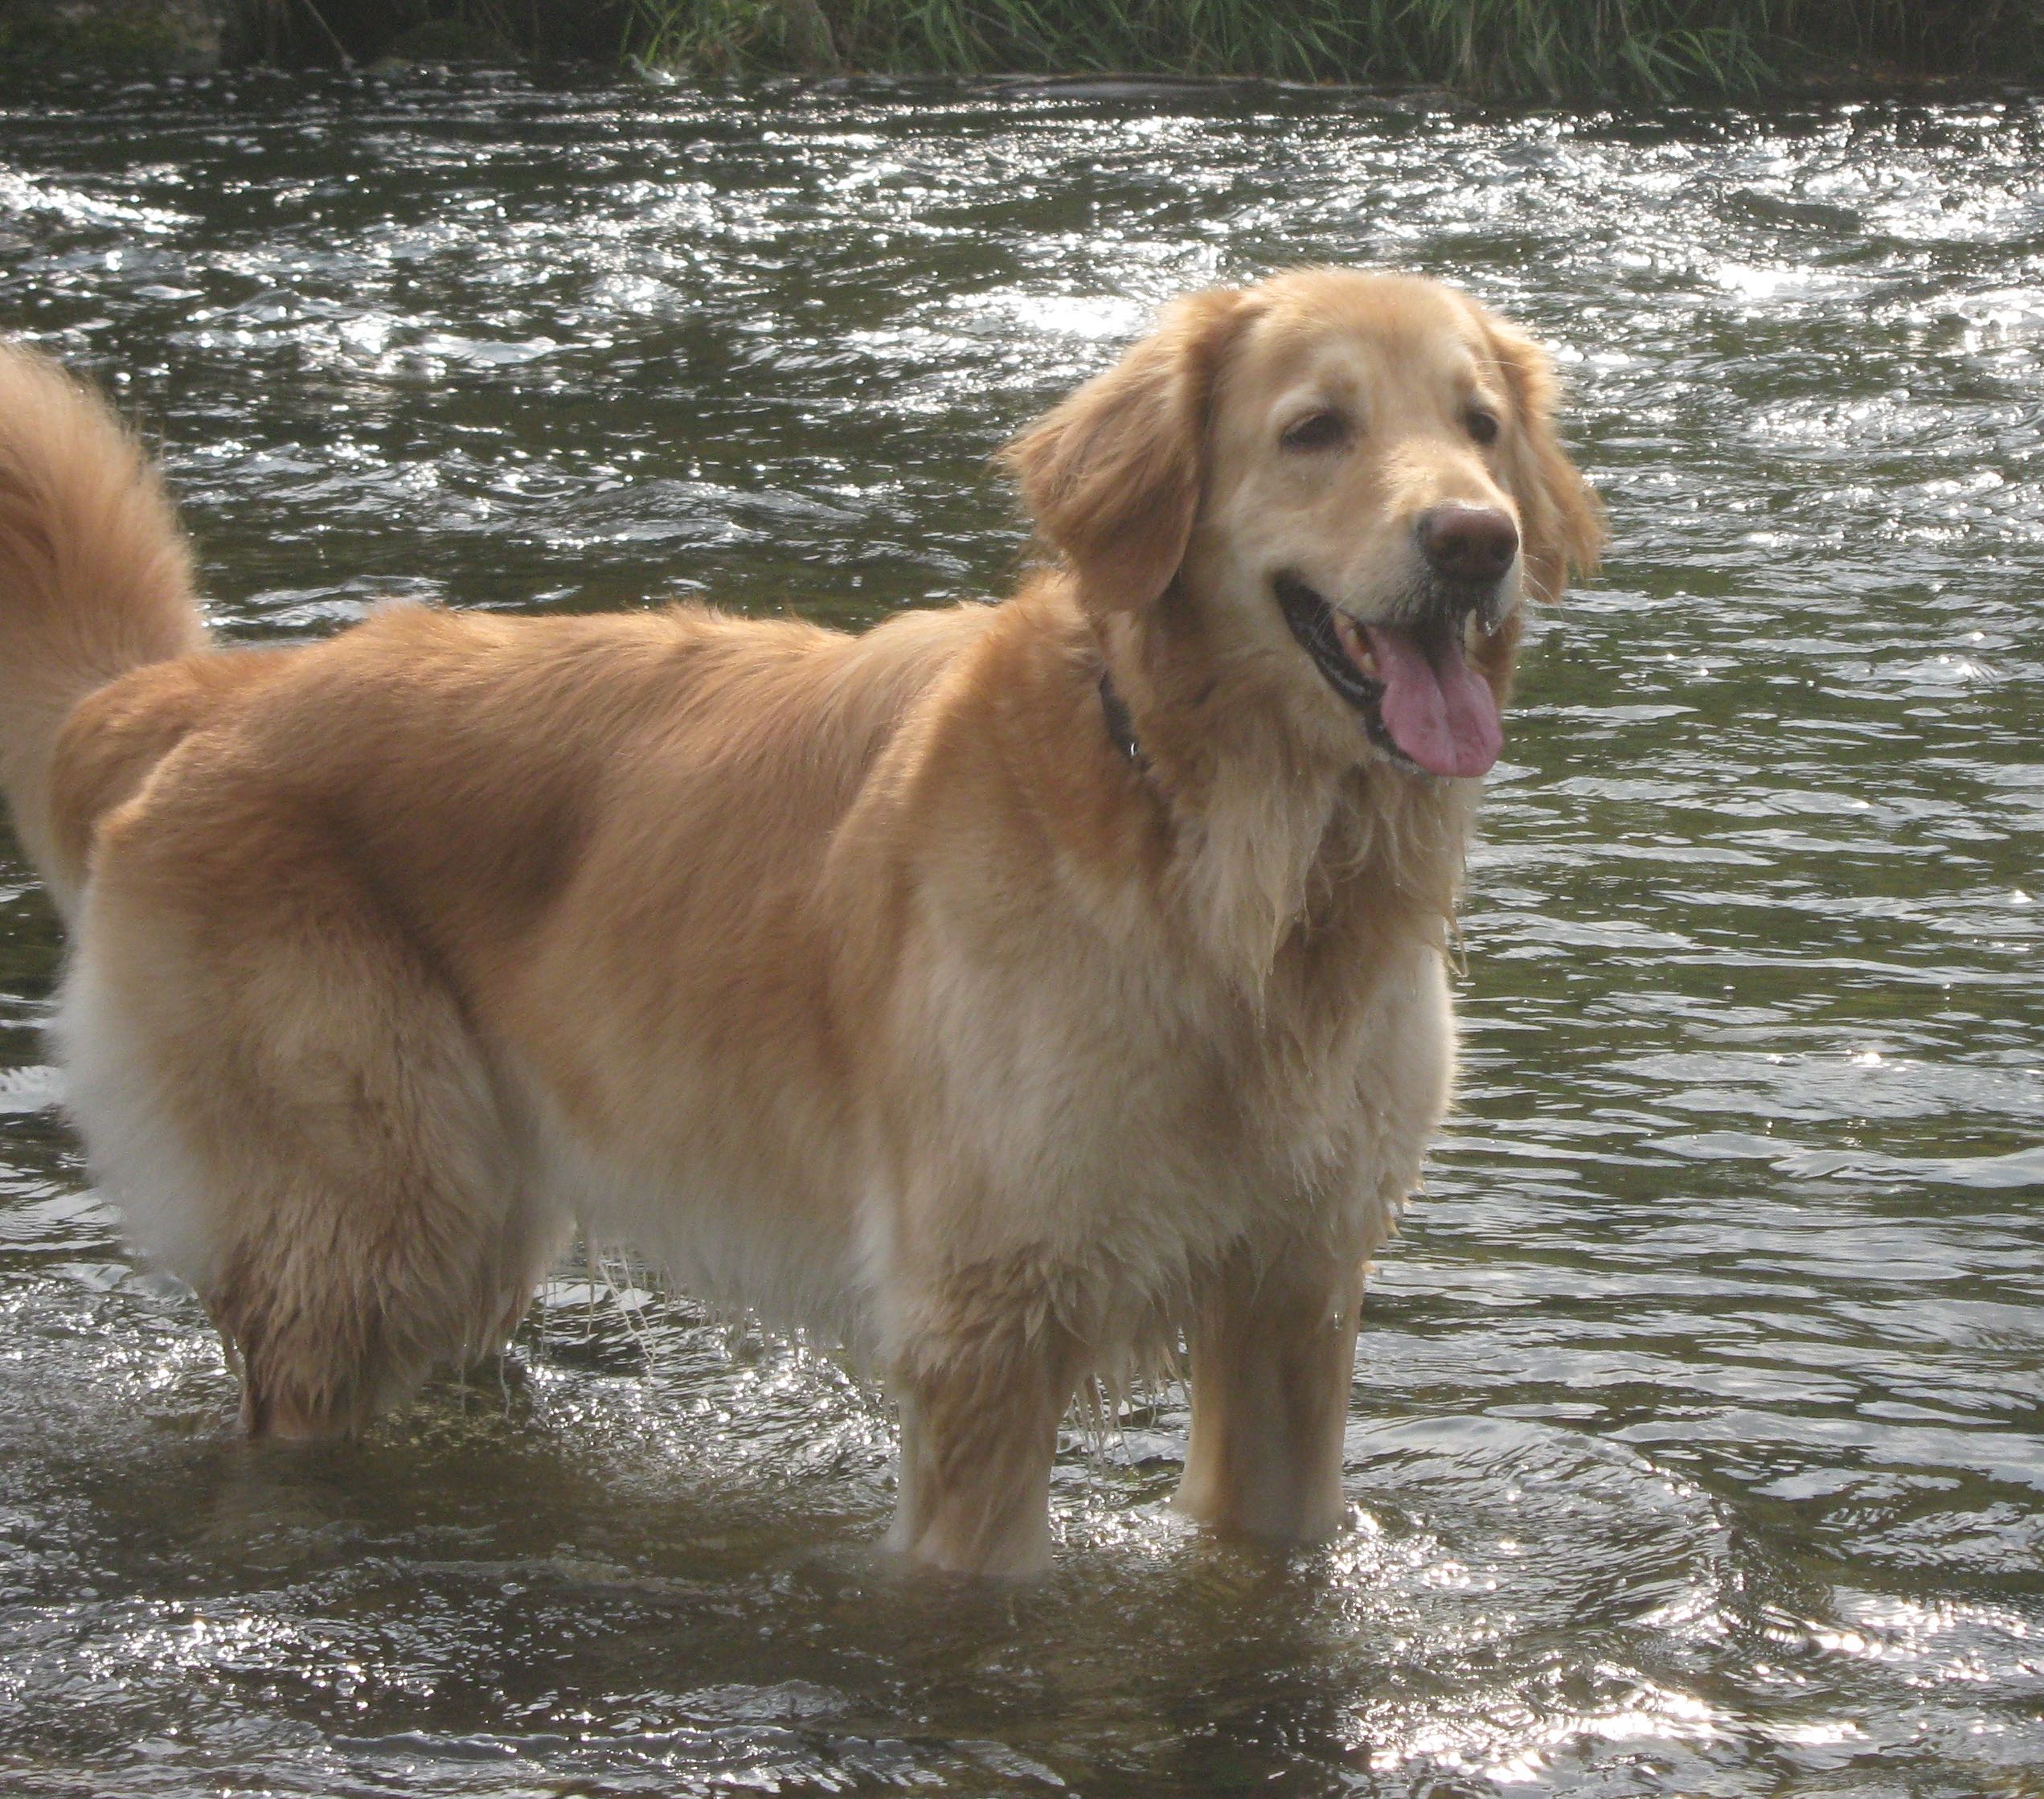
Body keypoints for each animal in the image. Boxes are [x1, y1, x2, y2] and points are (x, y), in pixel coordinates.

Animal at [0, 269, 1594, 1570]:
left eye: (1478, 426)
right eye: (1313, 427)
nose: (1475, 541)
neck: (1228, 861)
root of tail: (199, 697)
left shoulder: (1293, 1291)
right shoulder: (987, 1326)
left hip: (475, 1213)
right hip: (370, 1222)